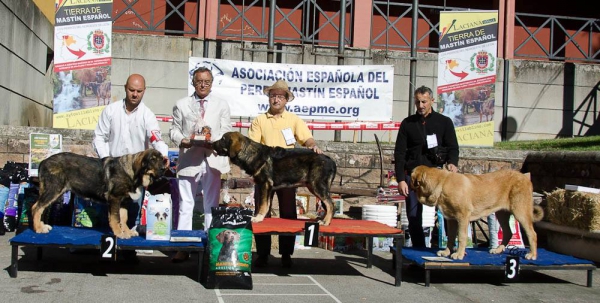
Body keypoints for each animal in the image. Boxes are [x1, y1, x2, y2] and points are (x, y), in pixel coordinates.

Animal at [30, 150, 166, 240]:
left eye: (161, 158)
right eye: (152, 159)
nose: (164, 167)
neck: (133, 174)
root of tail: (43, 162)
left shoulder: (123, 202)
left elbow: (124, 218)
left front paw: (127, 232)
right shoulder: (115, 198)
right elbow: (116, 219)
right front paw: (119, 233)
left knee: (39, 207)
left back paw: (41, 225)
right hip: (53, 189)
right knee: (36, 207)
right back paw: (38, 228)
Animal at [412, 166, 544, 262]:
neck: (442, 183)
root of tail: (526, 178)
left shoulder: (462, 217)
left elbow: (461, 237)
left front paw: (458, 254)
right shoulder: (451, 219)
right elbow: (451, 237)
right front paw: (446, 252)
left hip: (520, 212)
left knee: (532, 234)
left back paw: (532, 254)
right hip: (501, 214)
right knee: (508, 232)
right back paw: (498, 250)